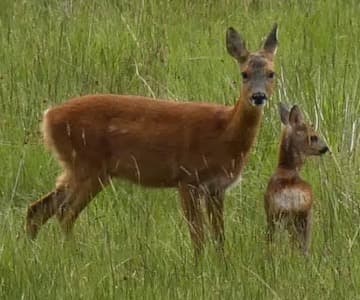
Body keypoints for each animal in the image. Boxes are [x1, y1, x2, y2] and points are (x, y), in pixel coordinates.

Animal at [26, 23, 278, 254]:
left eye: (271, 73)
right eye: (244, 74)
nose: (258, 96)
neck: (224, 133)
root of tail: (48, 117)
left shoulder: (217, 188)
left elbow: (219, 238)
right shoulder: (187, 178)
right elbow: (198, 238)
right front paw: (199, 267)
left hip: (77, 168)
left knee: (39, 208)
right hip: (88, 165)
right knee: (65, 213)